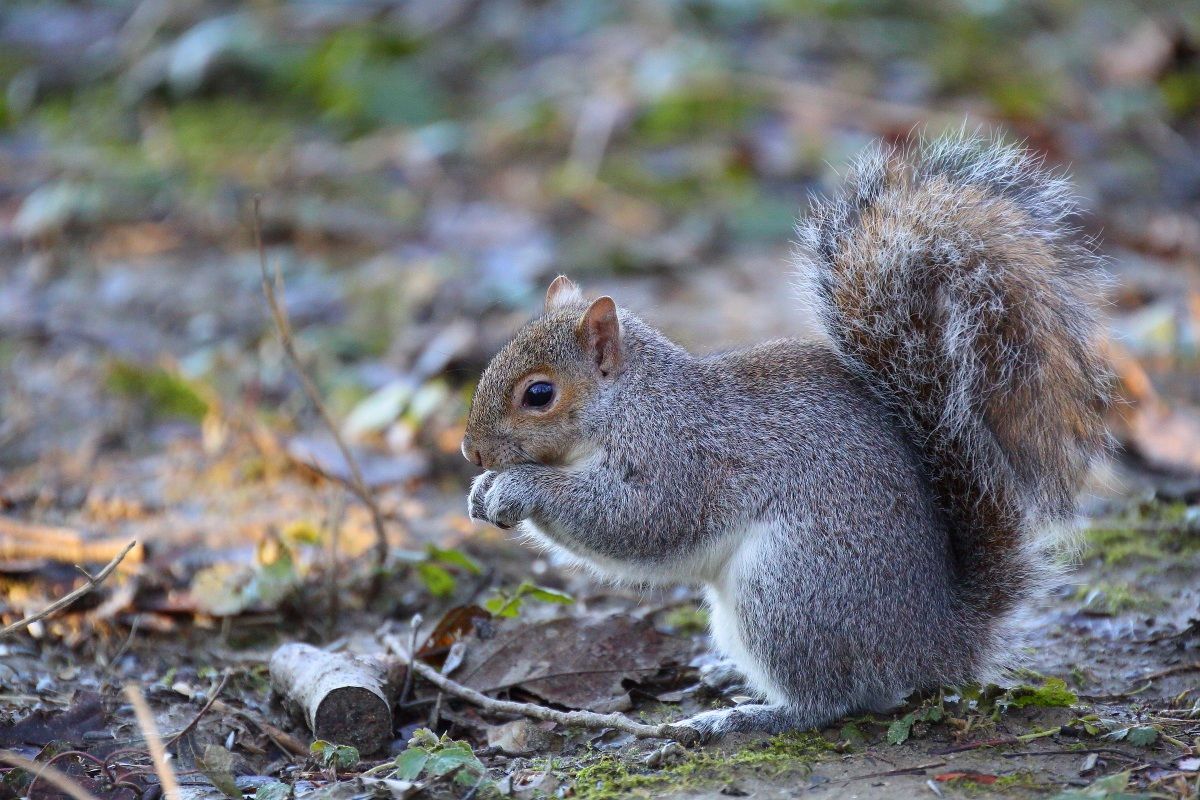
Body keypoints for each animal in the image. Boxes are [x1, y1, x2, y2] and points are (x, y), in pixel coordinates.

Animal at [460, 134, 1111, 740]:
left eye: (538, 394)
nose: (471, 451)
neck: (631, 403)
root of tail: (935, 641)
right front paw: (483, 489)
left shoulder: (679, 456)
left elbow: (637, 520)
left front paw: (519, 488)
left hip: (788, 588)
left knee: (830, 701)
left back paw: (745, 717)